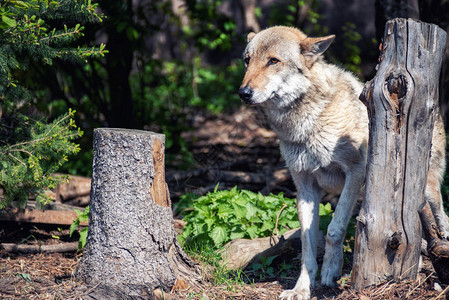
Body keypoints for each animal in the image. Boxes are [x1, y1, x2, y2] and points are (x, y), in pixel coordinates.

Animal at [238, 26, 448, 300]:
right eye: (247, 60)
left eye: (273, 61)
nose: (243, 93)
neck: (307, 123)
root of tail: (435, 107)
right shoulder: (305, 187)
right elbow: (307, 243)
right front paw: (301, 288)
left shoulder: (355, 173)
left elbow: (333, 230)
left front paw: (330, 272)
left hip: (428, 193)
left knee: (441, 219)